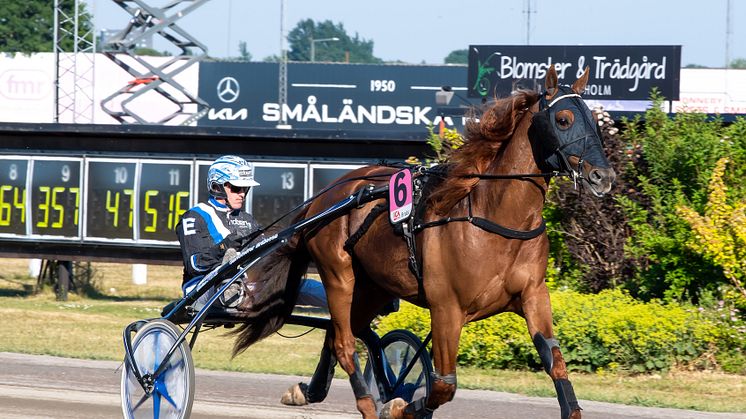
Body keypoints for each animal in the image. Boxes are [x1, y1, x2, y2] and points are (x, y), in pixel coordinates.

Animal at [235, 66, 612, 419]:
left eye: (595, 120)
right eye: (563, 120)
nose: (603, 176)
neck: (496, 220)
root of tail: (327, 195)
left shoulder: (533, 296)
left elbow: (556, 363)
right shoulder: (446, 307)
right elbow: (443, 385)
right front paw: (396, 406)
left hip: (374, 286)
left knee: (339, 333)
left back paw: (307, 391)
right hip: (338, 274)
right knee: (343, 342)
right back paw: (367, 404)